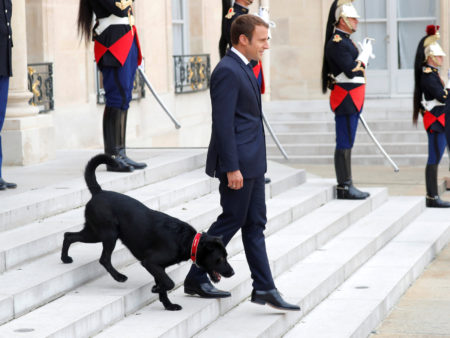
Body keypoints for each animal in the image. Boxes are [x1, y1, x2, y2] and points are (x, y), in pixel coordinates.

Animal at [61, 154, 234, 310]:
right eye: (219, 259)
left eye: (226, 256)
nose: (232, 273)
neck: (187, 240)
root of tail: (98, 192)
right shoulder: (150, 262)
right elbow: (169, 283)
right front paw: (156, 290)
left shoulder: (158, 267)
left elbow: (164, 285)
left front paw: (168, 305)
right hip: (107, 234)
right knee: (103, 258)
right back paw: (118, 277)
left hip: (93, 232)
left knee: (69, 235)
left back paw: (65, 258)